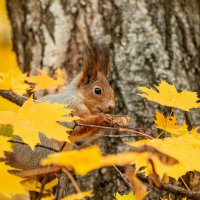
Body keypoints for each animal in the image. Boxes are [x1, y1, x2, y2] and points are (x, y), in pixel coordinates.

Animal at [5, 42, 115, 170]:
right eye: (97, 90)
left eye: (112, 90)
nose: (112, 106)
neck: (78, 97)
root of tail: (18, 161)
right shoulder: (71, 108)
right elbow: (79, 126)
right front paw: (103, 118)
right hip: (44, 147)